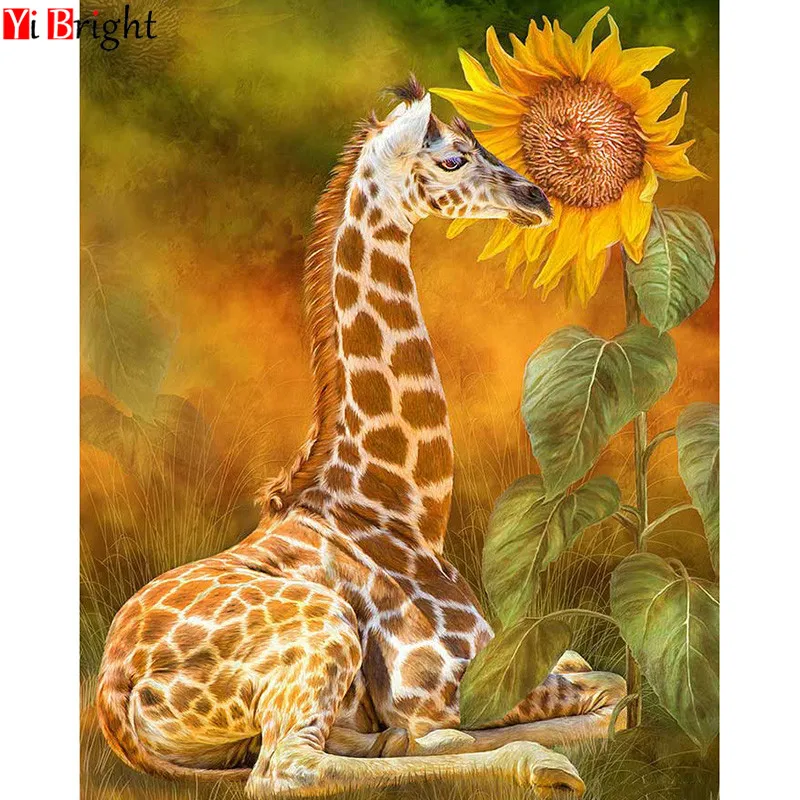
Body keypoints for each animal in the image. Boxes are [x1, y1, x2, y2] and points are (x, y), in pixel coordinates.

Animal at [96, 77, 626, 799]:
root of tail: (111, 696)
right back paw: (538, 764)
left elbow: (591, 669)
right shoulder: (448, 678)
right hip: (324, 634)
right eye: (453, 159)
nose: (536, 198)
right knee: (287, 769)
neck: (398, 503)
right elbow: (612, 692)